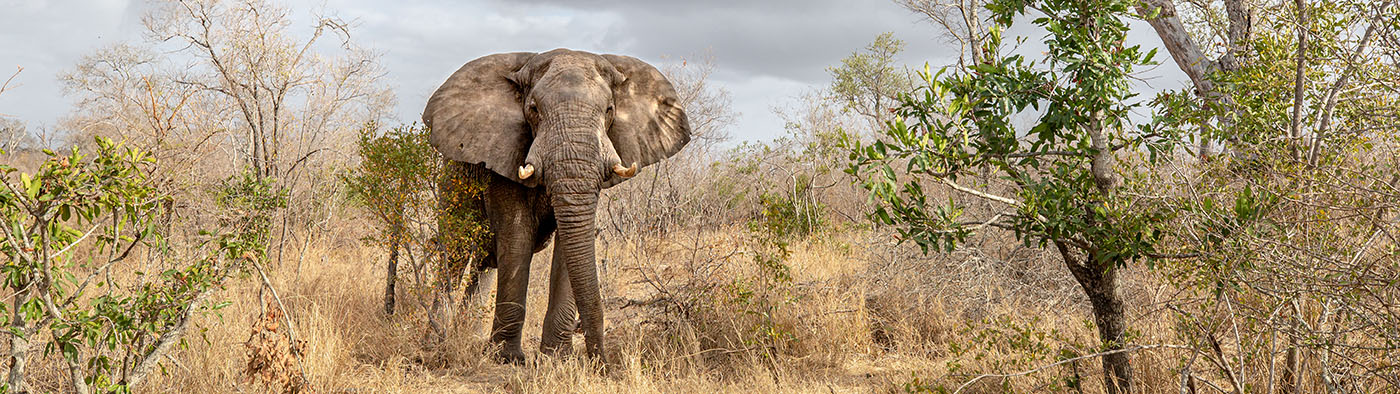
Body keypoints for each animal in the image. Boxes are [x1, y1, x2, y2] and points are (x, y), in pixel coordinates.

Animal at [420, 48, 694, 361]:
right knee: (456, 253)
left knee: (484, 263)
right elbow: (517, 237)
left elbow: (569, 243)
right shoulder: (504, 152)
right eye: (534, 109)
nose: (600, 361)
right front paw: (508, 358)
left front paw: (556, 357)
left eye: (609, 110)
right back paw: (437, 342)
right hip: (450, 183)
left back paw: (468, 336)